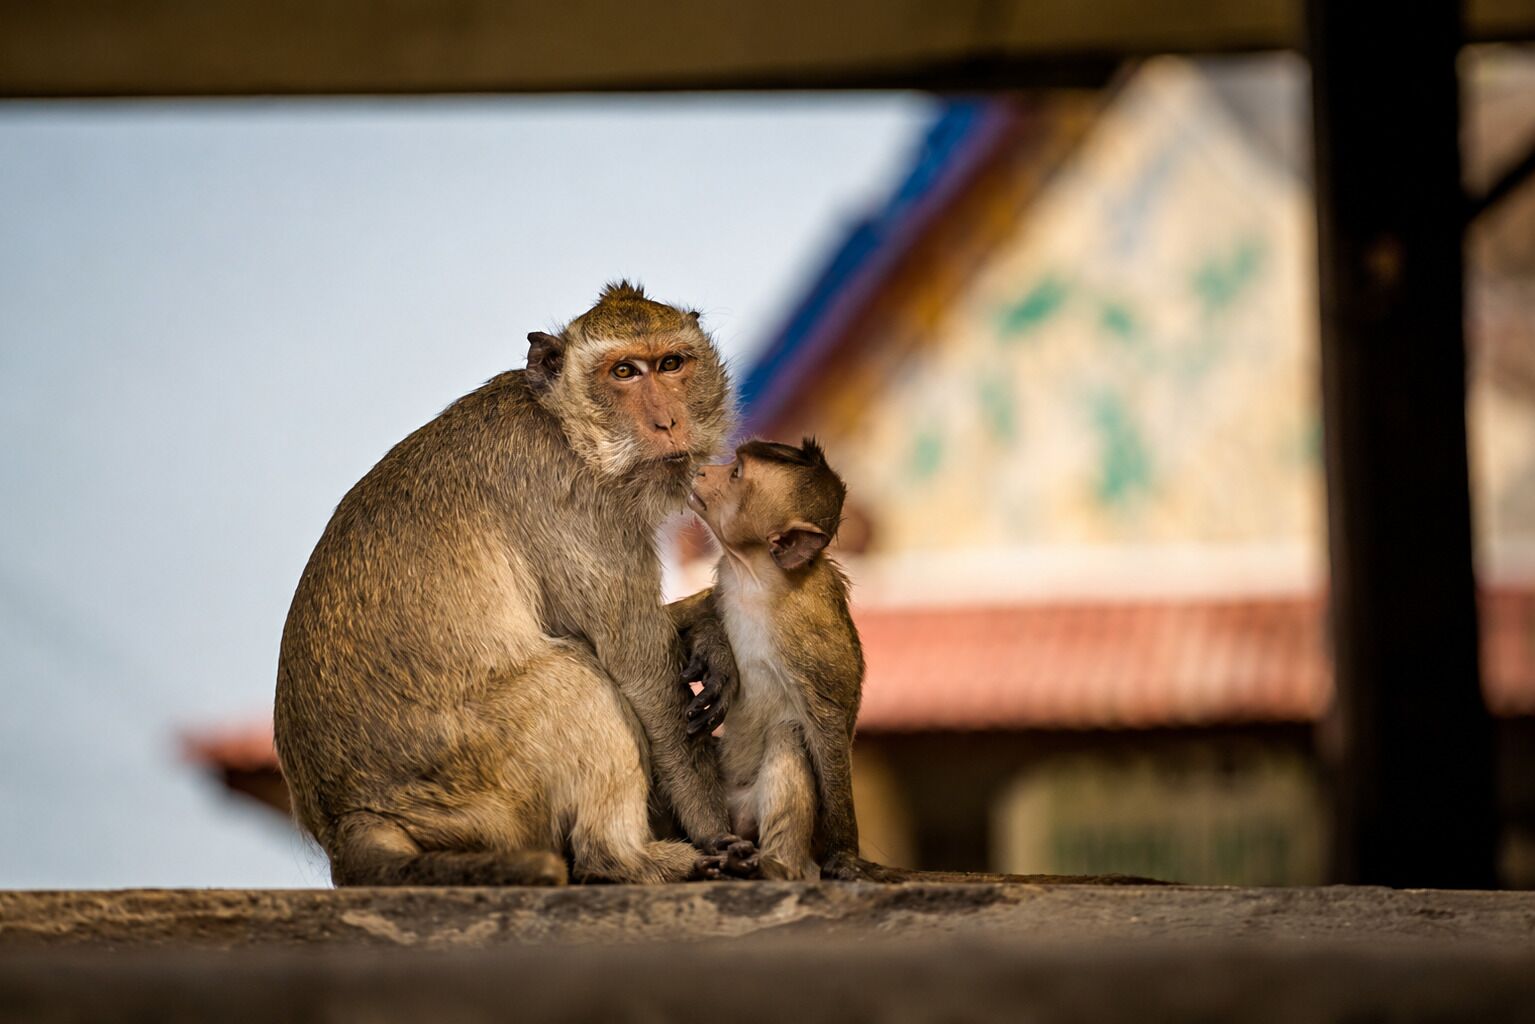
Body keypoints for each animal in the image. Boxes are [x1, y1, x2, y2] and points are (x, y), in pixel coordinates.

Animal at [274, 281, 759, 886]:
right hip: (480, 776)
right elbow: (637, 665)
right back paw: (631, 859)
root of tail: (349, 821)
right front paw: (714, 830)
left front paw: (708, 634)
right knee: (572, 677)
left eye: (671, 364)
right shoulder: (574, 502)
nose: (667, 422)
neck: (564, 427)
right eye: (624, 372)